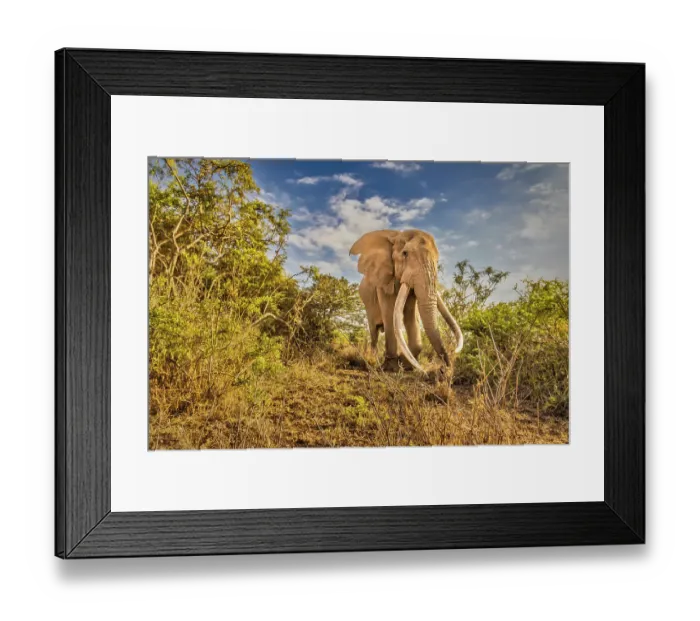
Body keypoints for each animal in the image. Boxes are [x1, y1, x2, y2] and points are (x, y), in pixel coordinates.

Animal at [350, 229, 463, 374]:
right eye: (405, 253)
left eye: (437, 260)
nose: (444, 369)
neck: (396, 235)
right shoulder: (383, 280)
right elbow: (390, 312)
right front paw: (391, 368)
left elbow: (411, 314)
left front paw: (406, 366)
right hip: (367, 304)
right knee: (374, 331)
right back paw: (372, 360)